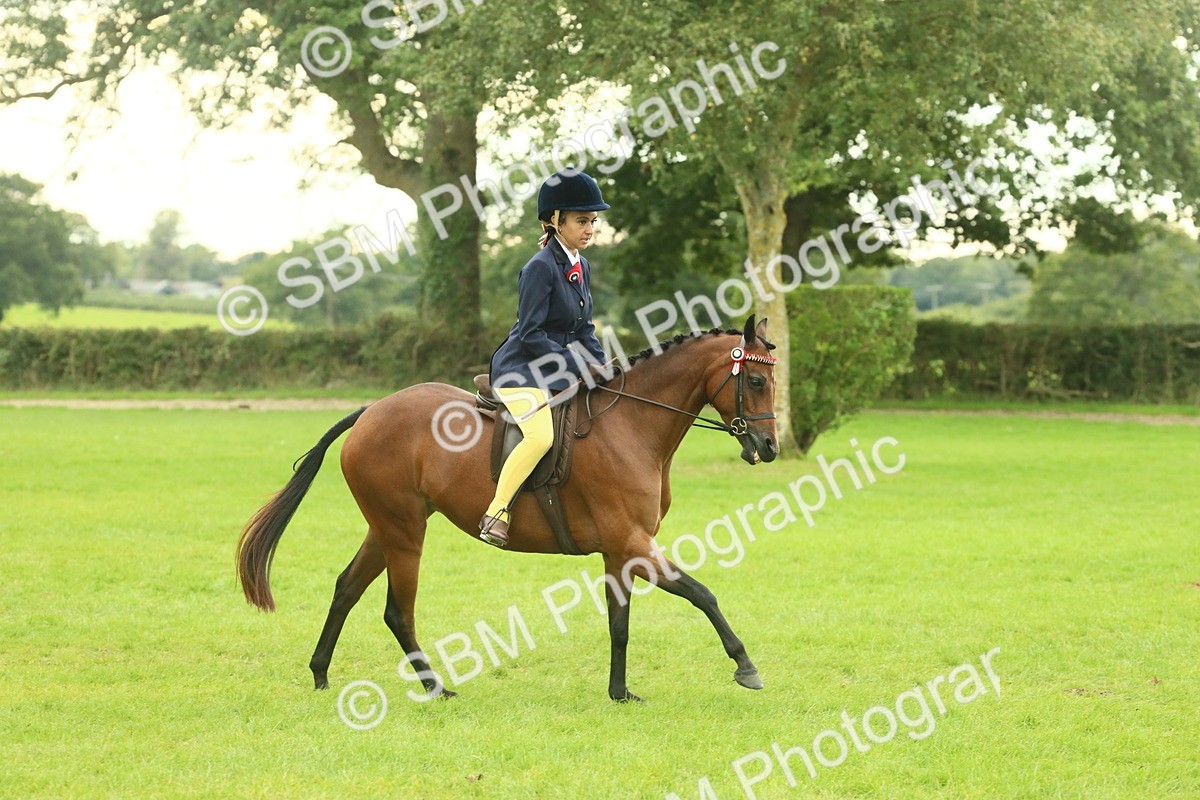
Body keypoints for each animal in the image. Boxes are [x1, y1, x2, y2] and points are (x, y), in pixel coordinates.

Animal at [237, 314, 780, 702]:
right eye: (755, 382)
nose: (770, 447)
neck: (632, 424)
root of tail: (372, 410)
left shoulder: (621, 550)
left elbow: (620, 623)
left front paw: (620, 692)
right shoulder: (632, 542)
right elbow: (702, 594)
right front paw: (746, 666)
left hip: (388, 526)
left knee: (347, 588)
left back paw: (321, 674)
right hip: (404, 531)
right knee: (397, 611)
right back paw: (435, 687)